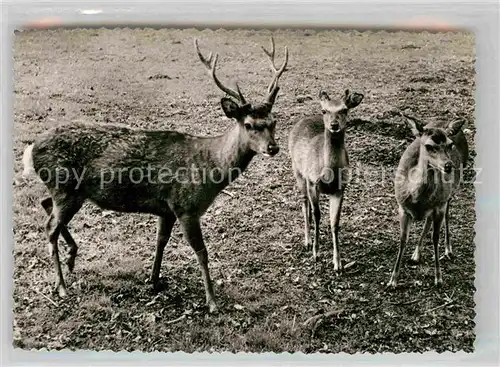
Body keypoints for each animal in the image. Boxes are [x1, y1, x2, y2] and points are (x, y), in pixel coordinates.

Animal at [22, 36, 290, 314]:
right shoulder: (185, 206)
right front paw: (212, 301)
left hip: (68, 191)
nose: (273, 148)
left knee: (45, 204)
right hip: (64, 187)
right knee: (50, 226)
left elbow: (161, 240)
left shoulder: (166, 208)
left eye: (274, 122)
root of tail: (32, 148)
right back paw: (61, 285)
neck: (210, 168)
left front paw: (154, 279)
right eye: (249, 124)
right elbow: (201, 251)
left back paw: (72, 256)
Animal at [290, 90, 364, 274]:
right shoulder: (312, 182)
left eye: (344, 109)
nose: (334, 125)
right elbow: (317, 215)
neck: (328, 172)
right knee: (304, 203)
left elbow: (334, 222)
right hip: (297, 171)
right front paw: (316, 253)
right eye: (324, 110)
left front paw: (338, 263)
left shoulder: (340, 188)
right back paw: (307, 241)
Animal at [386, 113, 468, 288]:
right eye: (429, 146)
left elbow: (435, 238)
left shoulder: (440, 205)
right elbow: (403, 240)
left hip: (449, 195)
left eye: (450, 144)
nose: (449, 166)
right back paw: (416, 254)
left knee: (447, 216)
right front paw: (393, 280)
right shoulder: (402, 208)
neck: (418, 199)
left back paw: (448, 250)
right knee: (428, 221)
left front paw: (438, 278)